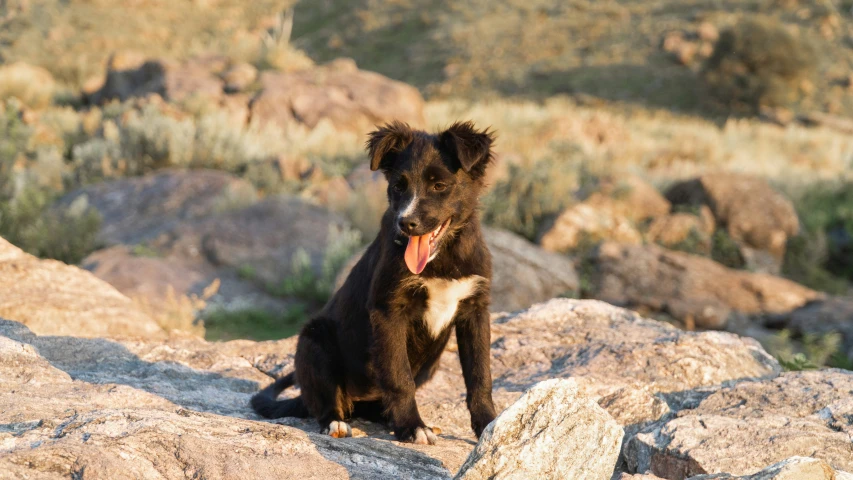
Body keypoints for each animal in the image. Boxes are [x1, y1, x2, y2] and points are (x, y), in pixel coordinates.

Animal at [250, 121, 496, 446]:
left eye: (439, 185)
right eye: (398, 186)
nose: (406, 224)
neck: (443, 258)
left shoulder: (474, 309)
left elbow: (480, 376)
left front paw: (490, 425)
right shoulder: (388, 310)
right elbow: (400, 377)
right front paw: (413, 427)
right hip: (314, 339)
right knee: (325, 402)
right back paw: (336, 422)